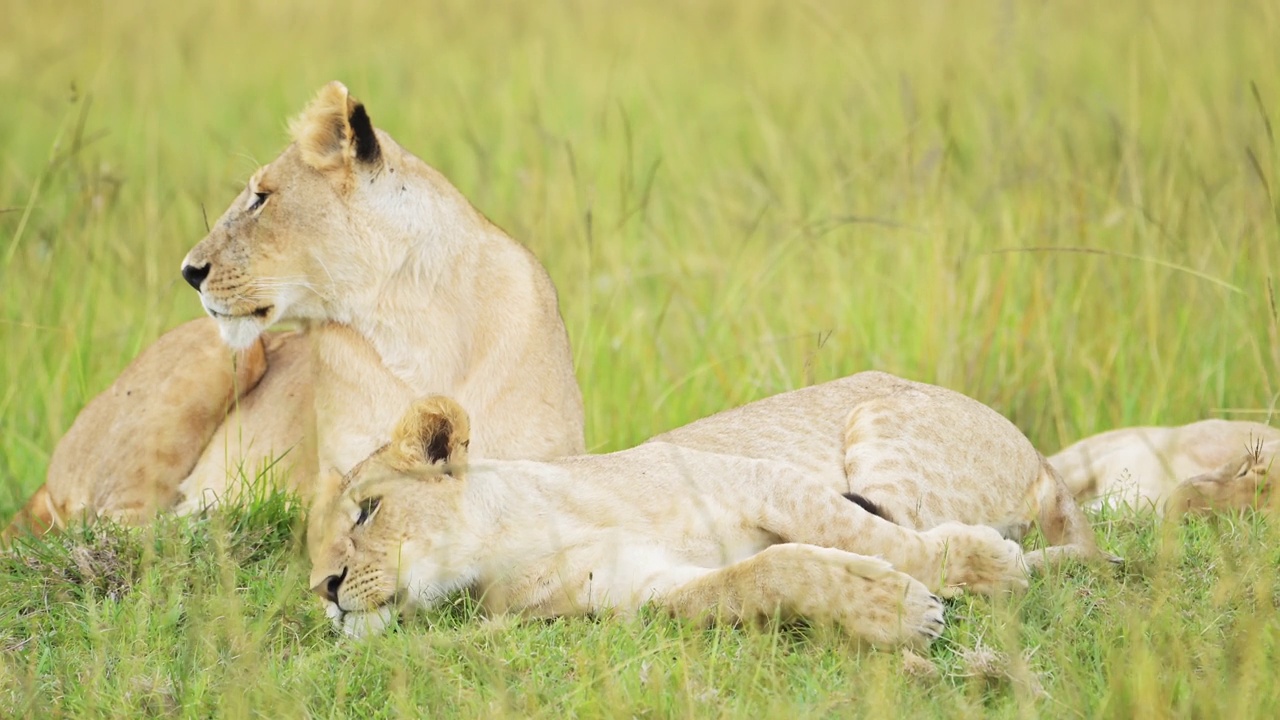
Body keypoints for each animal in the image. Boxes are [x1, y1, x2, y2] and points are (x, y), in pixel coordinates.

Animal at [3, 79, 586, 538]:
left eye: (261, 198)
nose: (189, 271)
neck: (414, 324)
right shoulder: (345, 476)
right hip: (230, 358)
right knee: (118, 522)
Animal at [309, 371, 1111, 648]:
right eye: (313, 550)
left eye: (366, 512)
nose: (323, 589)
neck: (510, 537)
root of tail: (1041, 459)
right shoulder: (639, 590)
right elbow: (763, 575)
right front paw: (893, 610)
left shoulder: (759, 479)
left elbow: (871, 536)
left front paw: (985, 568)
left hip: (877, 419)